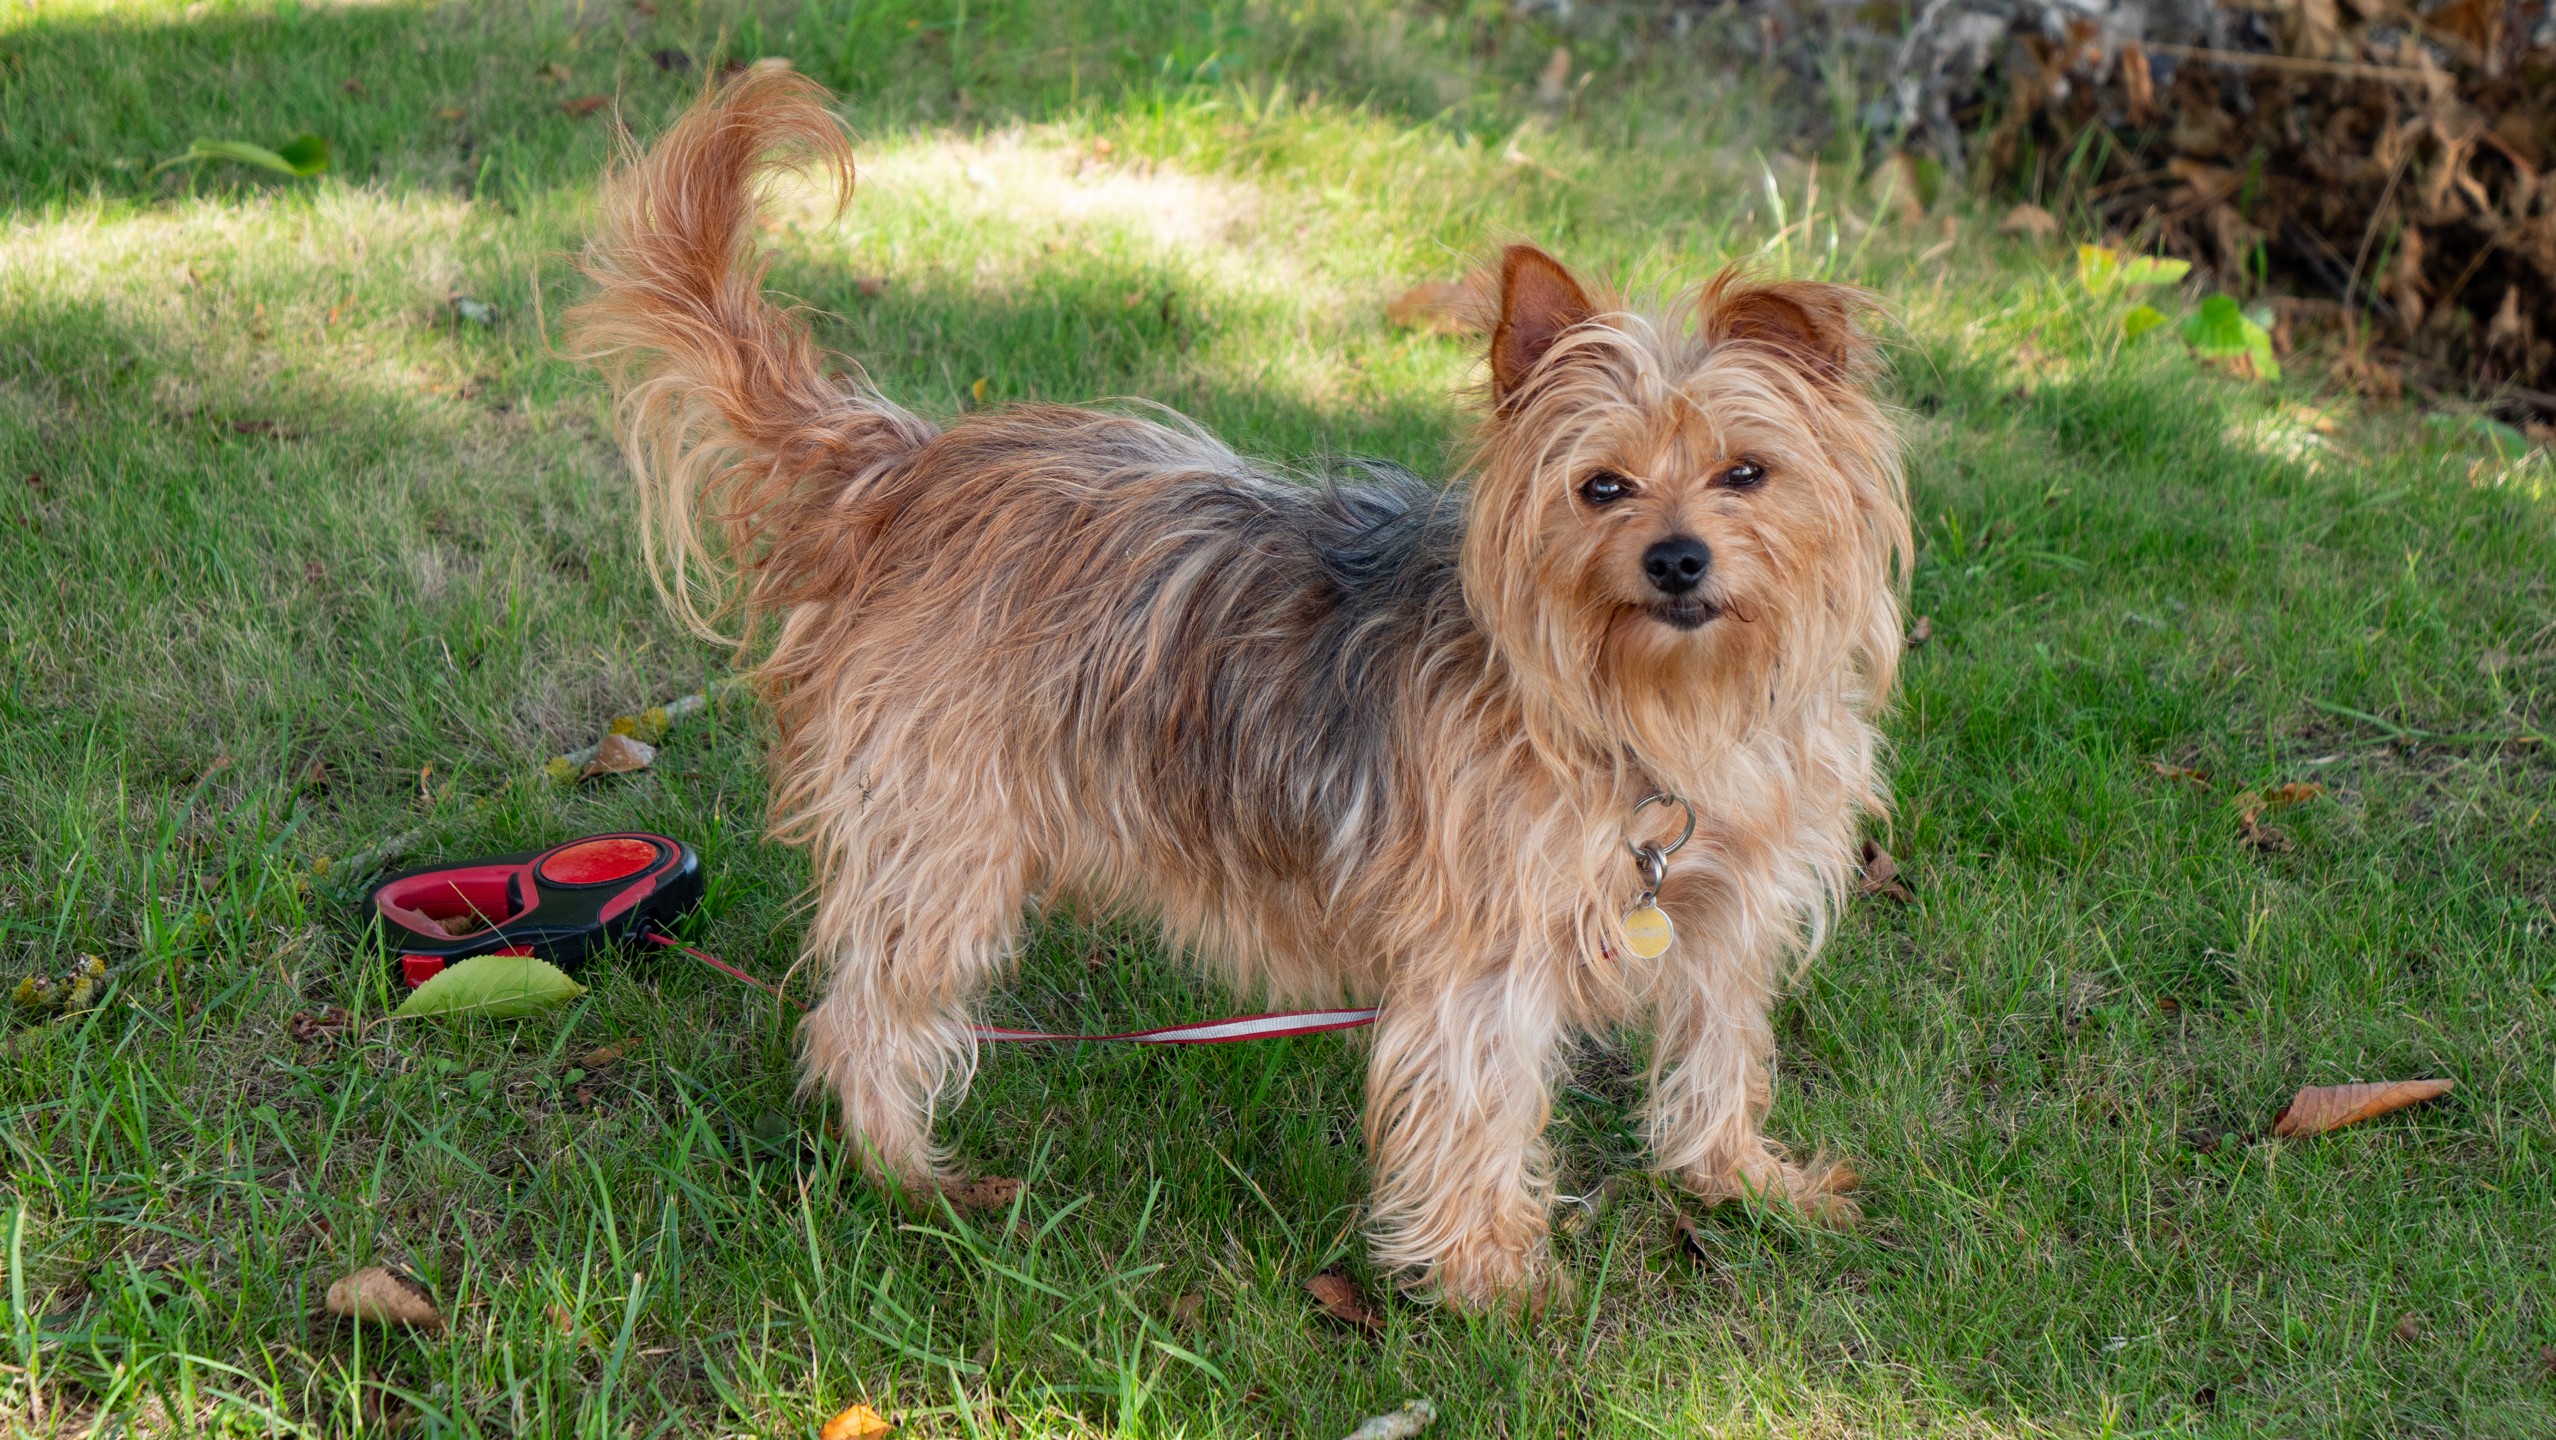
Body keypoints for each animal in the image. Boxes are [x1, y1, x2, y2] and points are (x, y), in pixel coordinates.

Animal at [571, 62, 1910, 1309]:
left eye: (1748, 472)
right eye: (1601, 488)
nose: (1677, 559)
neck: (1654, 715)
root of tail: (899, 468)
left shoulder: (1728, 914)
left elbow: (1720, 1044)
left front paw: (1738, 1180)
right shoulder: (1488, 953)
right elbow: (1480, 1101)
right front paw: (1491, 1278)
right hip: (941, 834)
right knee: (868, 1009)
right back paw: (906, 1176)